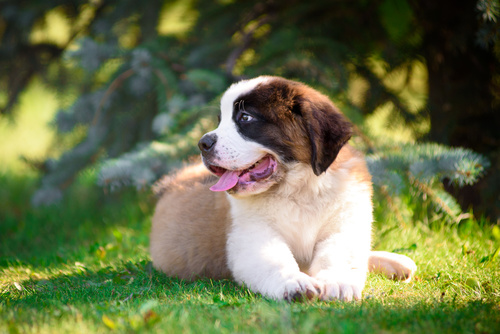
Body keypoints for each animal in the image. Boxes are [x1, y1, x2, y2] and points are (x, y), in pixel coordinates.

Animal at [150, 76, 416, 302]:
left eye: (245, 118)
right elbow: (275, 260)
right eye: (220, 120)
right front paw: (294, 282)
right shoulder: (253, 235)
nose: (203, 143)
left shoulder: (344, 223)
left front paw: (338, 283)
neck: (298, 189)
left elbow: (338, 254)